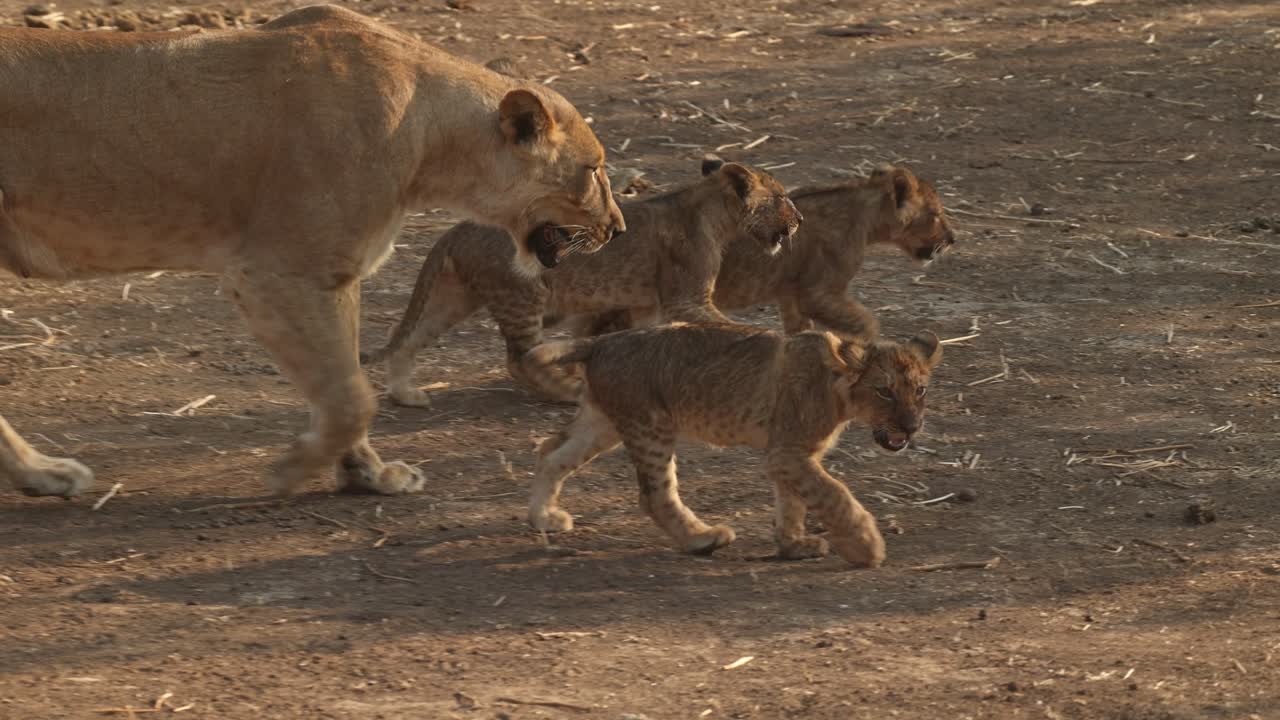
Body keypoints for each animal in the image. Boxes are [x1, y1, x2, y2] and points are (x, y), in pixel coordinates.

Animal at [0, 5, 626, 499]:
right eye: (594, 170)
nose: (618, 229)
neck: (428, 137)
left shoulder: (336, 275)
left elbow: (344, 381)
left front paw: (368, 475)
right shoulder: (276, 271)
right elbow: (351, 398)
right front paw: (291, 470)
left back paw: (42, 475)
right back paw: (46, 473)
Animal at [363, 160, 801, 406]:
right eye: (781, 197)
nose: (798, 220)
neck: (715, 215)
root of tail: (456, 229)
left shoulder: (646, 304)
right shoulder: (686, 297)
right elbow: (738, 326)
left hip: (456, 297)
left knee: (408, 336)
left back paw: (406, 395)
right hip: (523, 295)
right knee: (519, 359)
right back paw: (565, 392)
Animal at [522, 323, 943, 568]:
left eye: (920, 390)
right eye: (885, 391)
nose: (912, 426)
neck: (837, 388)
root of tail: (603, 339)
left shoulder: (788, 454)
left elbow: (792, 501)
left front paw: (793, 545)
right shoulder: (789, 450)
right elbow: (833, 493)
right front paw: (865, 546)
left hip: (604, 423)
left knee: (550, 452)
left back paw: (543, 517)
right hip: (651, 425)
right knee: (655, 495)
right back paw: (701, 539)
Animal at [584, 163, 955, 342]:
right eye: (936, 214)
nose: (952, 238)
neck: (866, 215)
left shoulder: (790, 294)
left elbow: (800, 329)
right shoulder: (818, 292)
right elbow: (867, 323)